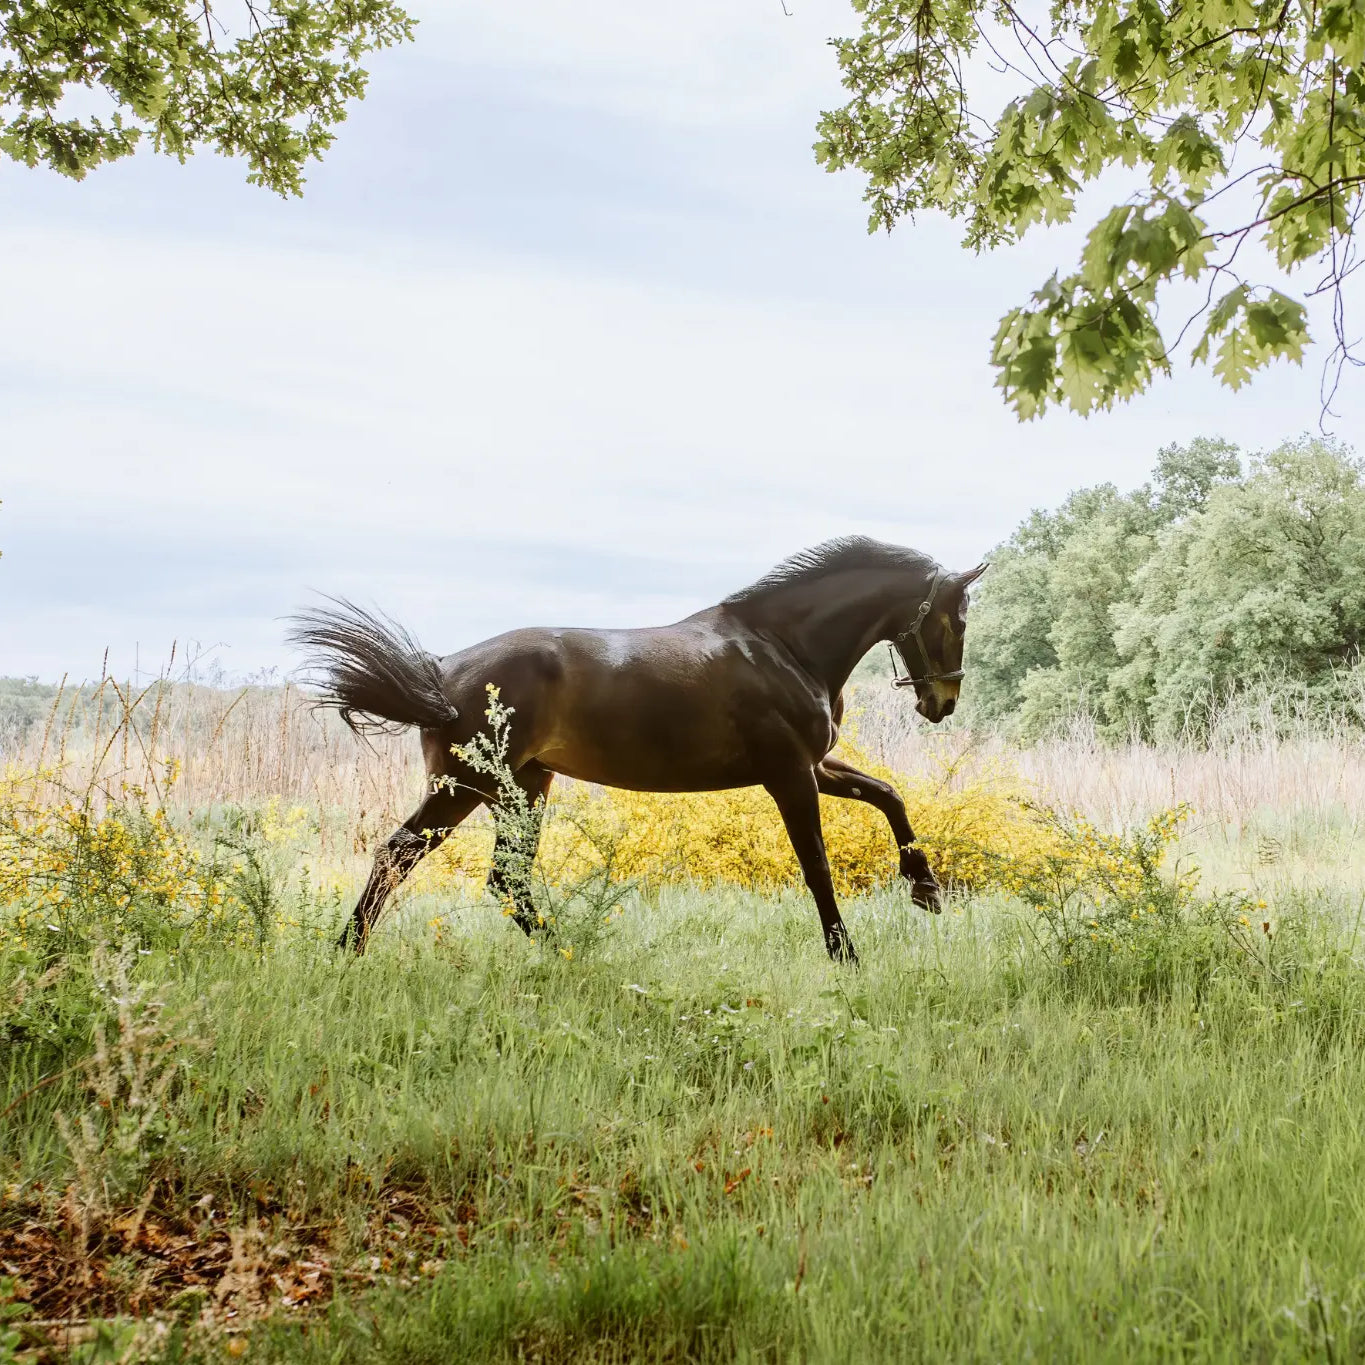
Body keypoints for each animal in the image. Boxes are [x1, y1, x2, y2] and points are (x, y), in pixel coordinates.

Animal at [289, 537, 985, 964]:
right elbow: (816, 864)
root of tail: (440, 670)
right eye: (957, 619)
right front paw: (845, 953)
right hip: (467, 787)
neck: (782, 646)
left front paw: (926, 889)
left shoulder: (815, 766)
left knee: (502, 880)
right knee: (401, 856)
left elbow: (888, 795)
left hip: (522, 789)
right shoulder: (790, 773)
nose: (944, 701)